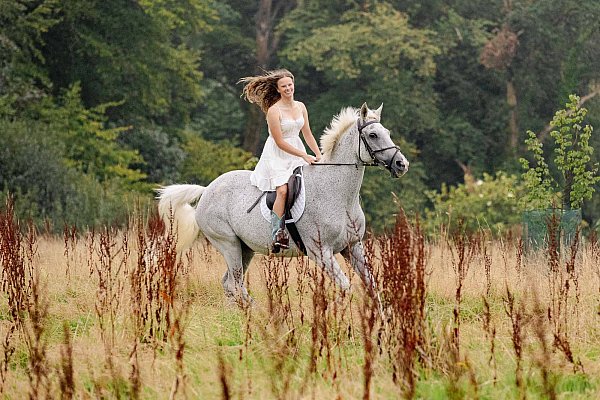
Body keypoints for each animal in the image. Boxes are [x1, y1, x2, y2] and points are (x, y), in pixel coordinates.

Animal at [156, 101, 408, 302]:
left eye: (387, 132)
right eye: (373, 135)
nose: (401, 164)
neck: (340, 196)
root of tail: (207, 189)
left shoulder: (353, 247)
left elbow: (371, 286)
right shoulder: (321, 252)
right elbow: (345, 286)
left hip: (245, 249)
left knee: (230, 283)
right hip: (228, 244)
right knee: (235, 283)